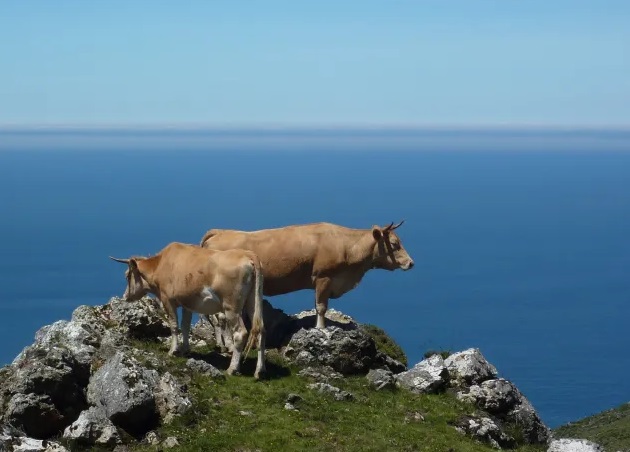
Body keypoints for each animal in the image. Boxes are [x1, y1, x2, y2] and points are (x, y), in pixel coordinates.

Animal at [110, 242, 266, 380]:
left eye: (127, 275)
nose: (125, 296)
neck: (160, 264)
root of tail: (248, 254)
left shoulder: (167, 300)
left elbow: (174, 326)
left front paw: (173, 350)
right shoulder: (187, 303)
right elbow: (185, 326)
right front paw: (185, 349)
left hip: (231, 306)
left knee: (240, 333)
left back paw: (232, 368)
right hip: (253, 301)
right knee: (260, 330)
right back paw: (259, 371)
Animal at [201, 220, 414, 328]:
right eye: (394, 244)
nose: (411, 263)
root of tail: (219, 231)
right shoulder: (324, 277)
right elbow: (321, 307)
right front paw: (321, 328)